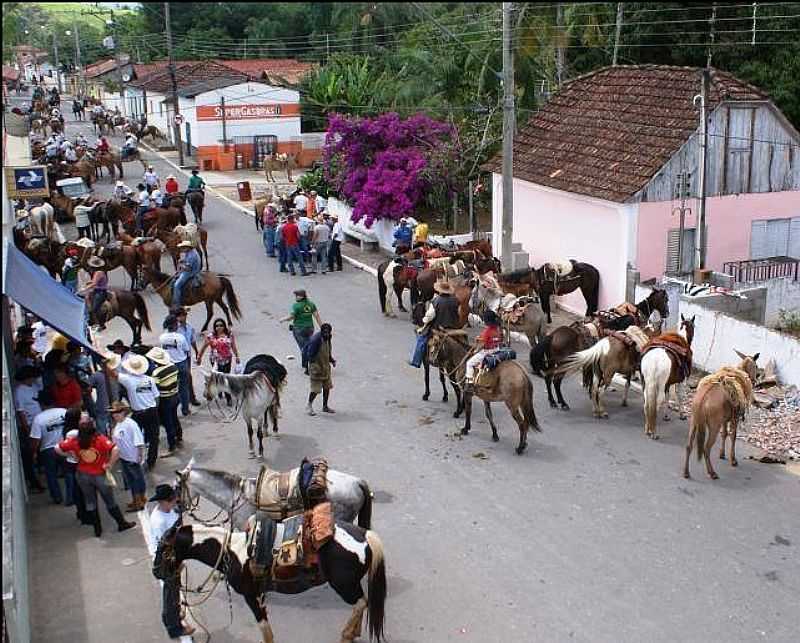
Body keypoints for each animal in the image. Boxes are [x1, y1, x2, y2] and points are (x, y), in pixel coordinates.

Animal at [532, 290, 668, 410]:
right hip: (563, 363)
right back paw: (563, 403)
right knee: (556, 381)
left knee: (548, 377)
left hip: (552, 362)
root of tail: (552, 335)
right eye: (665, 299)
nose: (667, 313)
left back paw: (552, 401)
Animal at [684, 350, 760, 480]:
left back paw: (686, 472)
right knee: (706, 448)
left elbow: (724, 434)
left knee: (689, 445)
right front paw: (733, 460)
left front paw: (722, 454)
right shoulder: (735, 418)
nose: (755, 379)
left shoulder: (724, 419)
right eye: (756, 366)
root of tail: (703, 399)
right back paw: (712, 472)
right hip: (714, 426)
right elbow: (733, 436)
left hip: (694, 421)